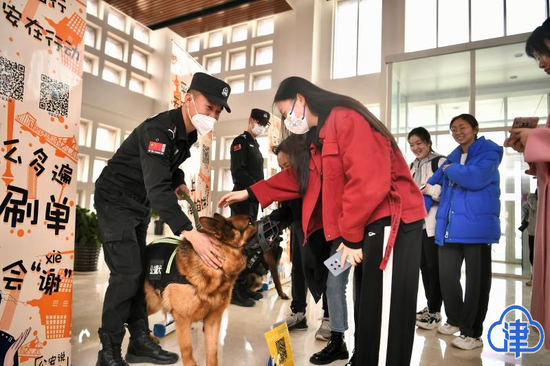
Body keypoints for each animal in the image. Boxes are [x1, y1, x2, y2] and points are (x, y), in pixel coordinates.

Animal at [146, 214, 260, 366]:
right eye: (250, 222)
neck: (218, 267)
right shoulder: (182, 320)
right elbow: (187, 350)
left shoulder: (213, 321)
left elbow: (212, 352)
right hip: (151, 303)